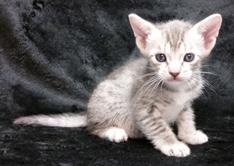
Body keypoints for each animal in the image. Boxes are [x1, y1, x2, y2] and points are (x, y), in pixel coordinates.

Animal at [13, 13, 222, 157]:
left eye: (189, 57)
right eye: (161, 57)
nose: (174, 72)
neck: (176, 89)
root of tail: (88, 114)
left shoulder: (185, 103)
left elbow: (186, 118)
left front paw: (189, 135)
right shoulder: (143, 106)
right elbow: (159, 128)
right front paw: (173, 144)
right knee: (92, 128)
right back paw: (113, 131)